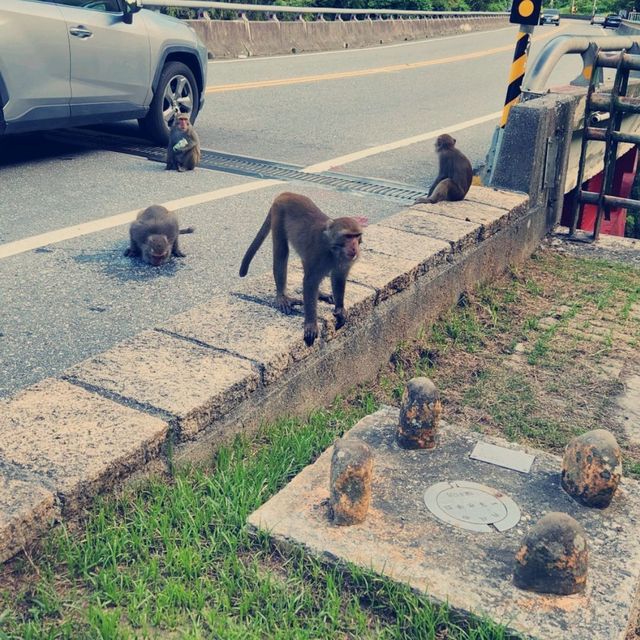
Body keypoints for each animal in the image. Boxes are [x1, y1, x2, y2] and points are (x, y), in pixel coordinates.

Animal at [239, 192, 368, 348]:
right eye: (348, 236)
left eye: (357, 236)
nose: (355, 248)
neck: (334, 248)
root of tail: (286, 193)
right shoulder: (319, 251)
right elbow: (310, 281)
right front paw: (311, 323)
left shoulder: (346, 260)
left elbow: (338, 278)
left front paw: (340, 308)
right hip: (278, 213)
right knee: (282, 251)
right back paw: (282, 297)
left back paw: (320, 294)